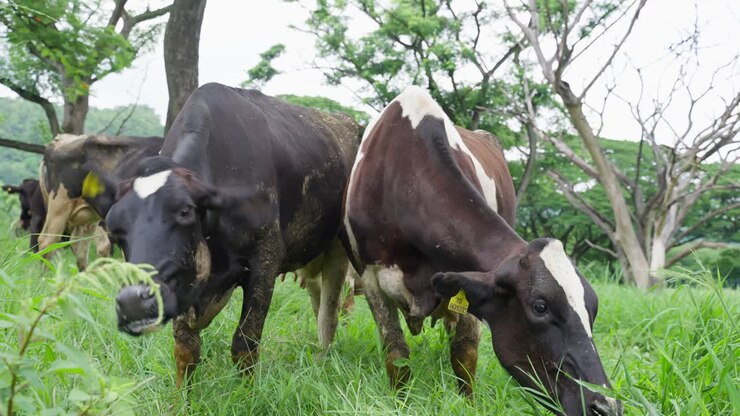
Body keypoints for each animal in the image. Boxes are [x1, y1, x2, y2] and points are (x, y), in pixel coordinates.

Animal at [98, 83, 360, 387]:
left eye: (185, 212)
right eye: (113, 227)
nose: (133, 303)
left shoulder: (264, 262)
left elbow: (245, 343)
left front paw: (247, 393)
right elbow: (185, 347)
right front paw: (181, 397)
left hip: (338, 252)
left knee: (329, 314)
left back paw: (323, 357)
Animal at [342, 86, 621, 416]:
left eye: (593, 310)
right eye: (540, 306)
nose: (606, 405)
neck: (403, 178)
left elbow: (464, 352)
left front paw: (467, 403)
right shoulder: (370, 276)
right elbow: (396, 353)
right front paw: (401, 403)